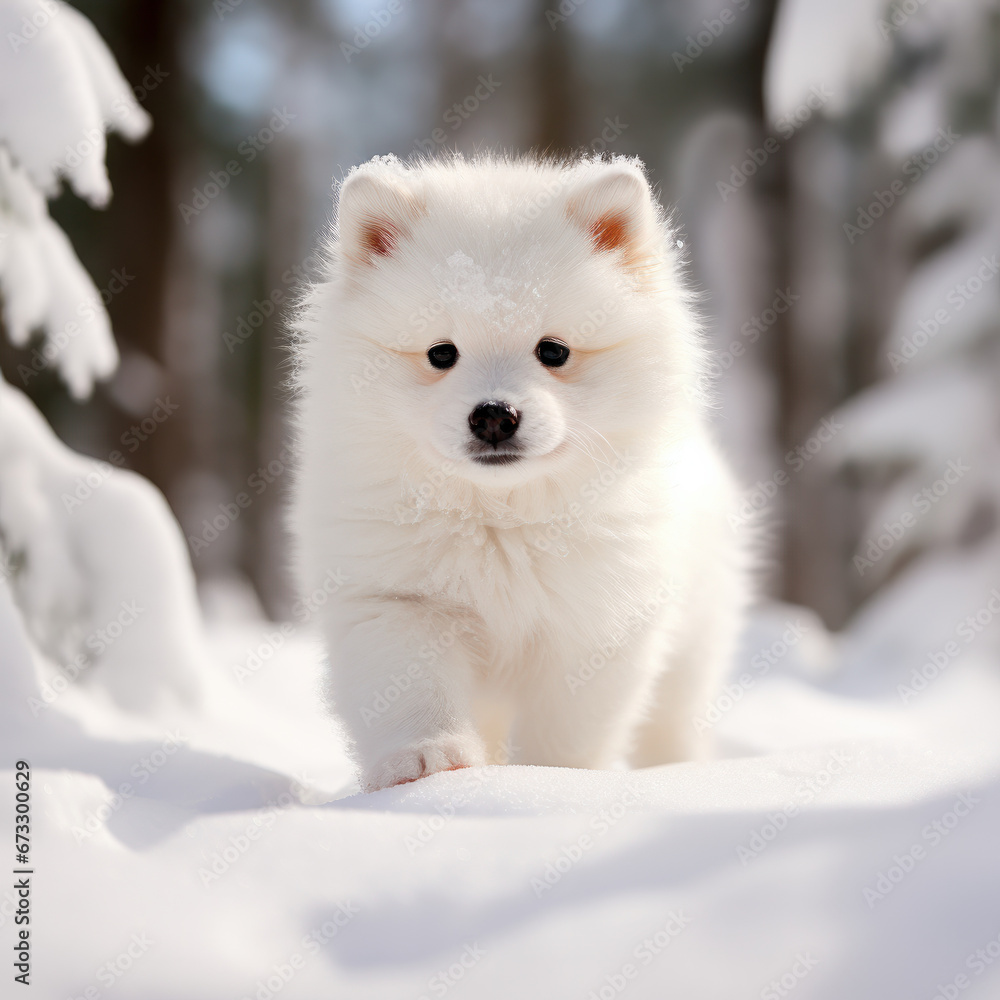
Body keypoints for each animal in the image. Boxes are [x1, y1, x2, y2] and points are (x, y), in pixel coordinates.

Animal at [288, 152, 744, 792]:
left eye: (553, 351)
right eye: (441, 353)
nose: (494, 416)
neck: (499, 518)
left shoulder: (595, 623)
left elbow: (565, 732)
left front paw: (547, 780)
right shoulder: (396, 600)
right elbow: (413, 693)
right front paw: (428, 760)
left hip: (695, 638)